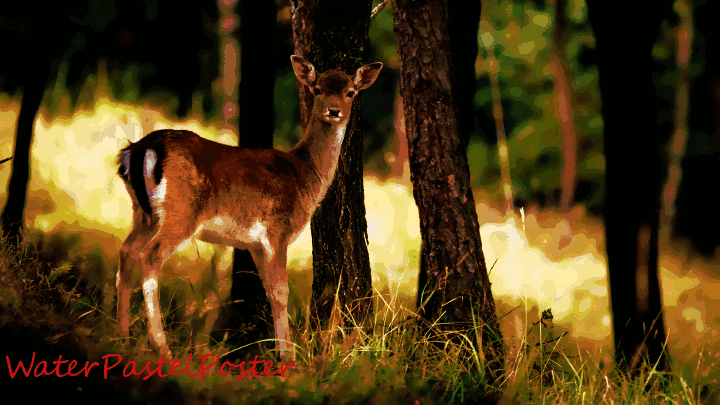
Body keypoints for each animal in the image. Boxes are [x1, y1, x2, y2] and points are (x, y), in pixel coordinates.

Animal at [115, 55, 383, 358]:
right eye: (316, 90)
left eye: (350, 92)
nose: (334, 110)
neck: (303, 176)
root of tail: (141, 149)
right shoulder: (277, 231)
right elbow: (281, 291)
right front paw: (288, 357)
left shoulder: (255, 244)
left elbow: (268, 290)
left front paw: (280, 349)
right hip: (181, 212)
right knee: (150, 257)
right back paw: (163, 347)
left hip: (143, 213)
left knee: (127, 251)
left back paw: (121, 336)